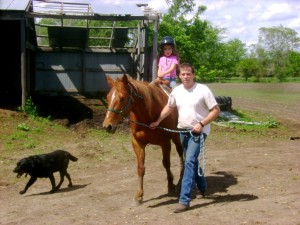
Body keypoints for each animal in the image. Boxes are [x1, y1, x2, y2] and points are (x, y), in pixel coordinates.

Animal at [102, 74, 184, 204]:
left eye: (122, 98)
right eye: (108, 97)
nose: (107, 126)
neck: (149, 115)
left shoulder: (165, 143)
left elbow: (166, 163)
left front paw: (171, 185)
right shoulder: (137, 143)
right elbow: (140, 168)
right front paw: (139, 195)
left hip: (176, 136)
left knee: (181, 152)